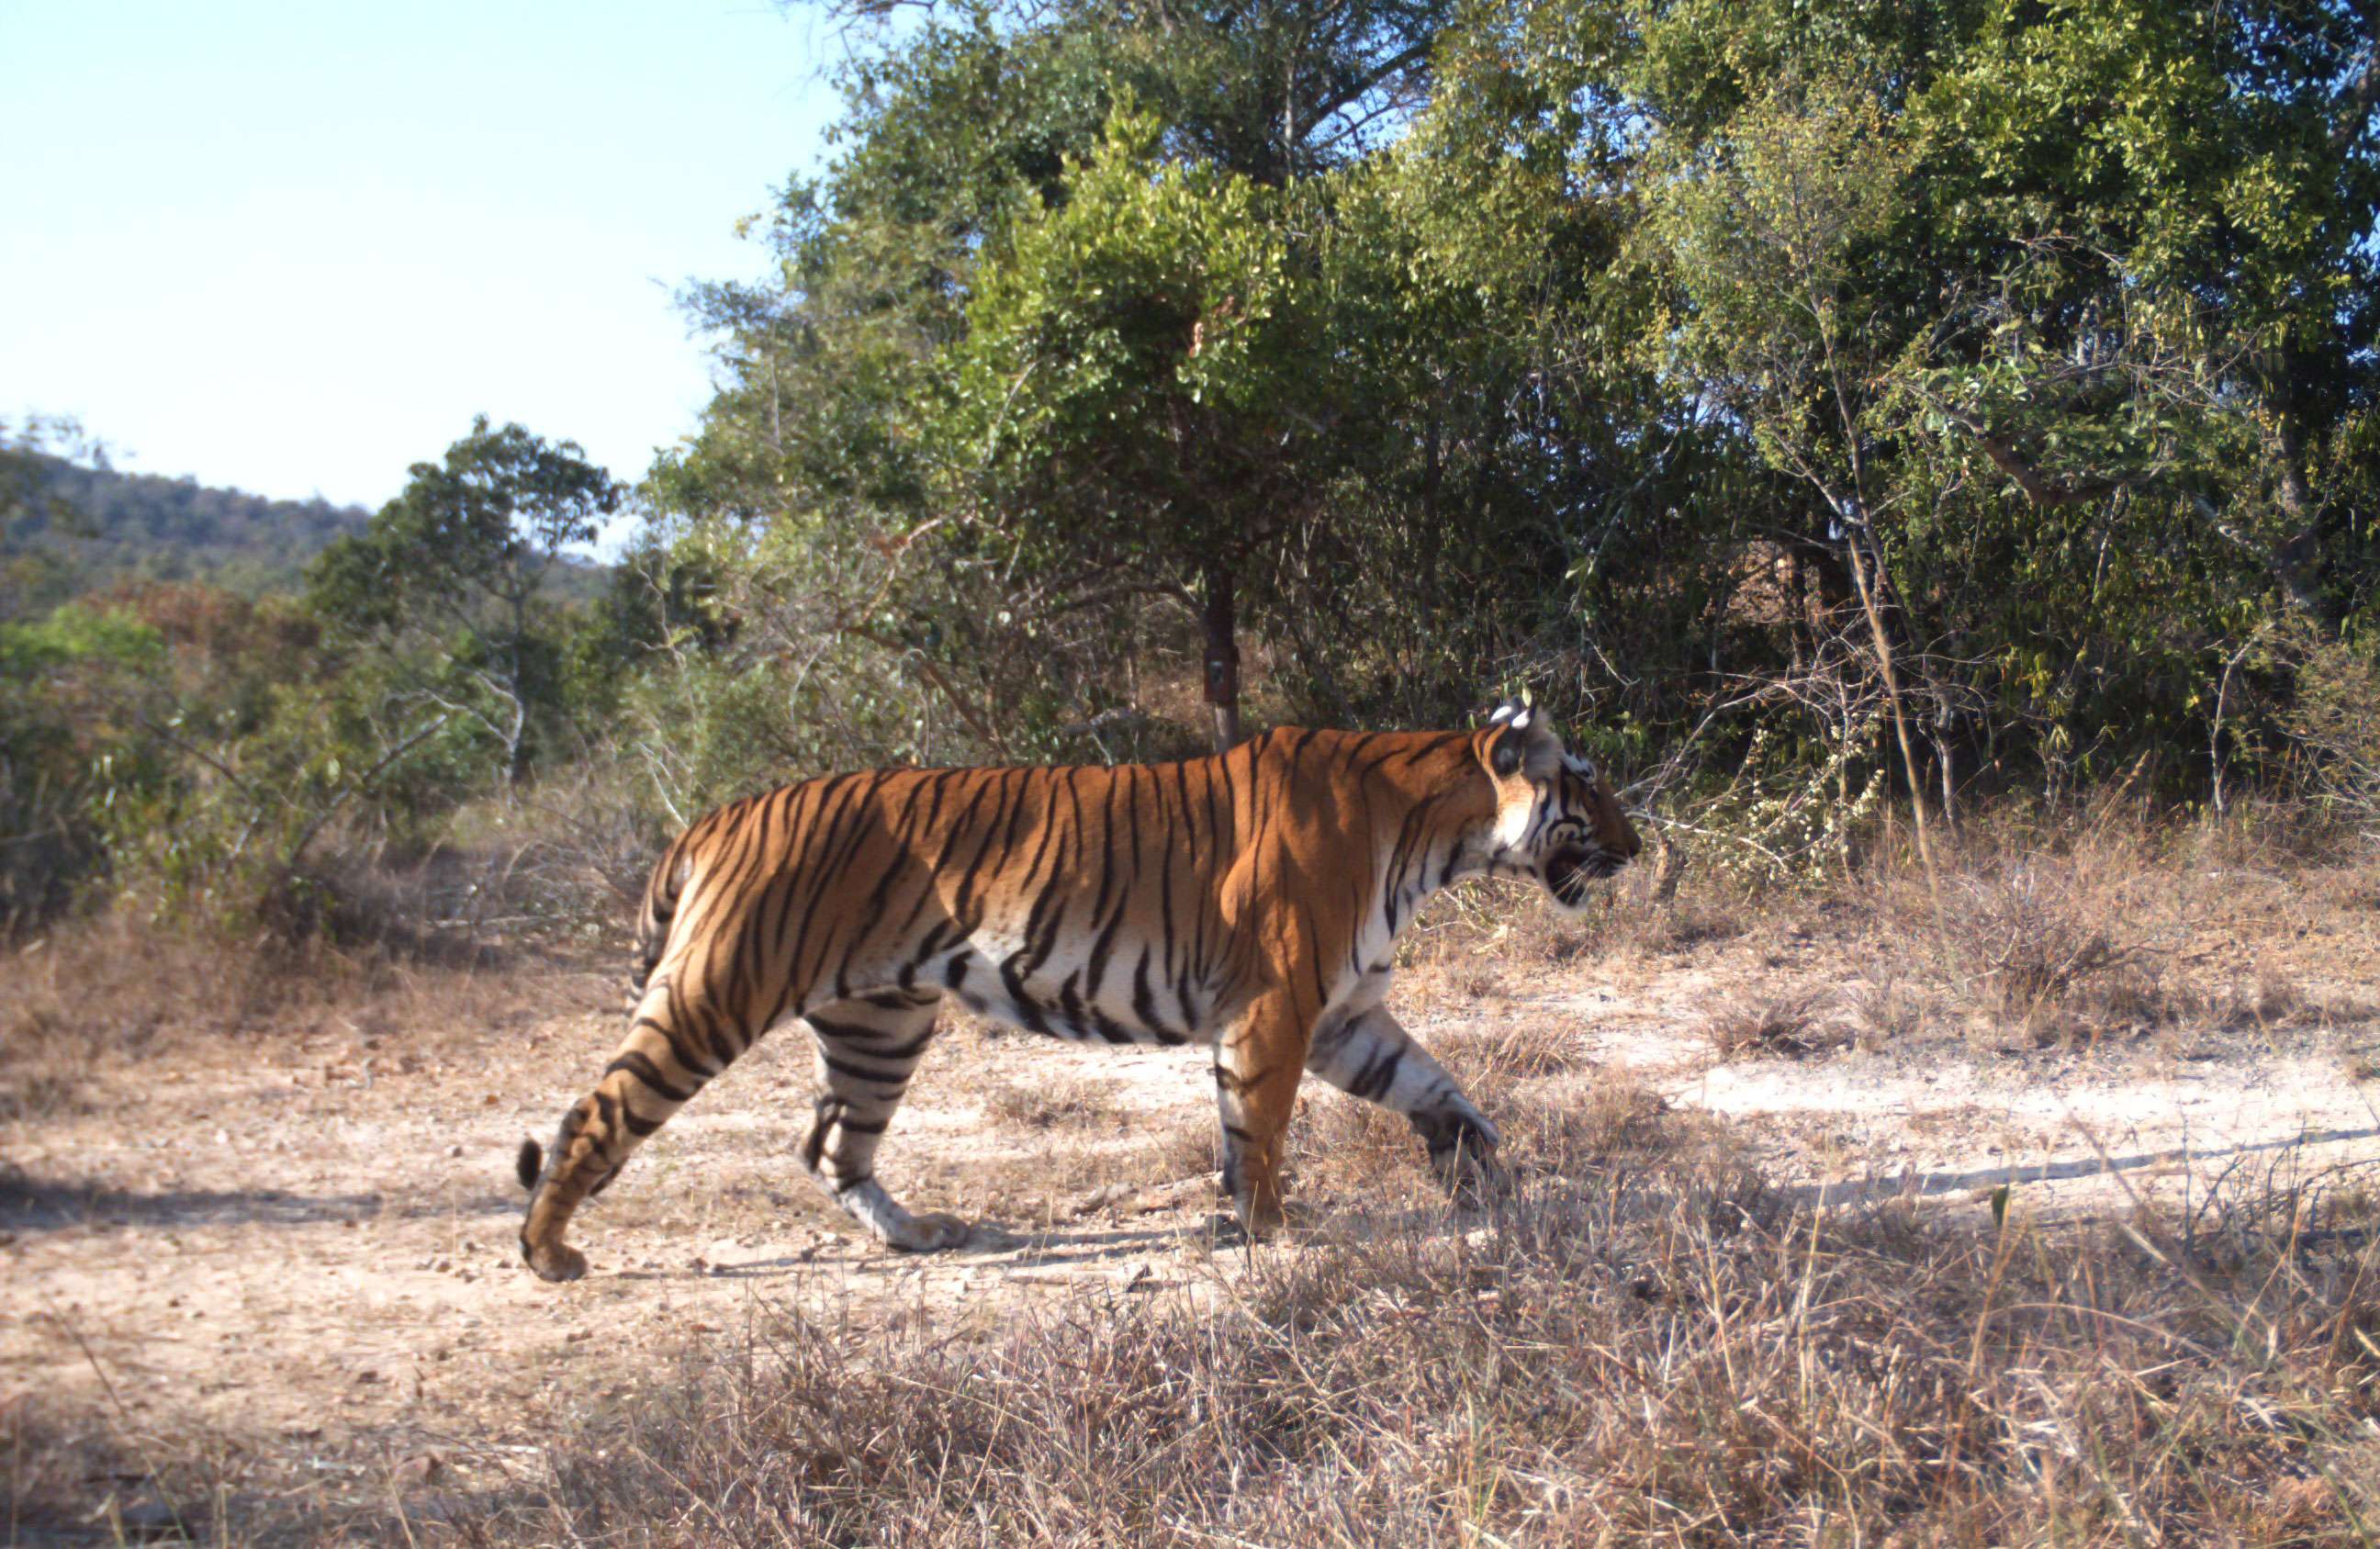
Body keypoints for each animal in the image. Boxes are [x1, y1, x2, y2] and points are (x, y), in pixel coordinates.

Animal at [515, 701, 1640, 1282]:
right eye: (1585, 781)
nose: (1637, 847)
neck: (1435, 835)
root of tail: (718, 813)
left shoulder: (1346, 1013)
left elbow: (1437, 1084)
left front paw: (1483, 1168)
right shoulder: (1279, 1005)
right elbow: (1260, 1128)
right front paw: (1272, 1228)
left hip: (880, 1021)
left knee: (833, 1144)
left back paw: (919, 1234)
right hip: (718, 992)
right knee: (595, 1113)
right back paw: (549, 1251)